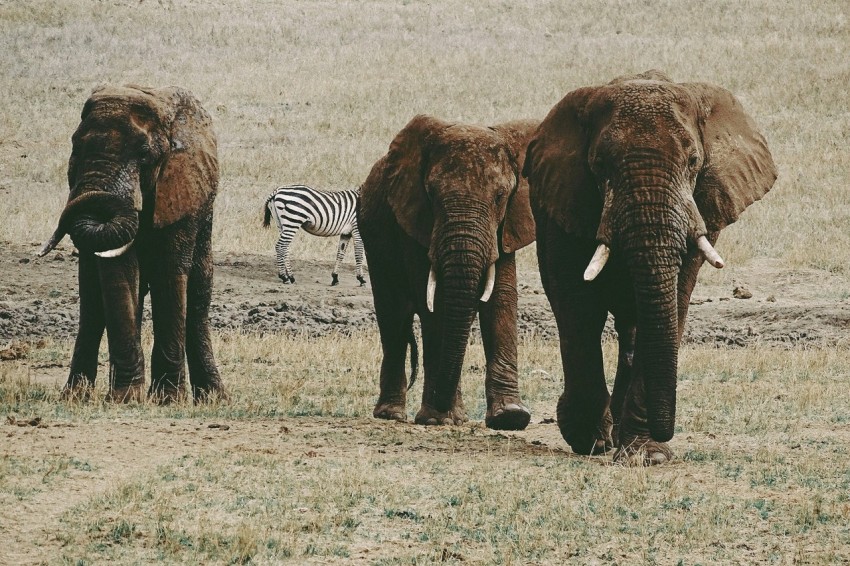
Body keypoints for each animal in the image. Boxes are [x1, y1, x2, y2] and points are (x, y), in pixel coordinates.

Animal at [38, 84, 226, 403]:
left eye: (144, 154)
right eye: (75, 147)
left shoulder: (181, 190)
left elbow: (169, 273)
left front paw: (166, 401)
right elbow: (122, 273)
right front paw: (125, 399)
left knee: (198, 296)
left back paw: (213, 399)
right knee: (93, 300)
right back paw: (74, 397)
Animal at [358, 115, 539, 430]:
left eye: (500, 196)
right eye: (431, 194)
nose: (443, 408)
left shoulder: (507, 226)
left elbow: (501, 299)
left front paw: (511, 417)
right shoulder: (416, 222)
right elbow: (436, 302)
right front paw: (438, 419)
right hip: (374, 236)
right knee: (393, 314)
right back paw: (391, 414)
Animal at [524, 71, 777, 464]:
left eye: (693, 161)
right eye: (600, 165)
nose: (665, 432)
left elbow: (675, 298)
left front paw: (647, 455)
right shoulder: (565, 202)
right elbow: (578, 303)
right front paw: (589, 439)